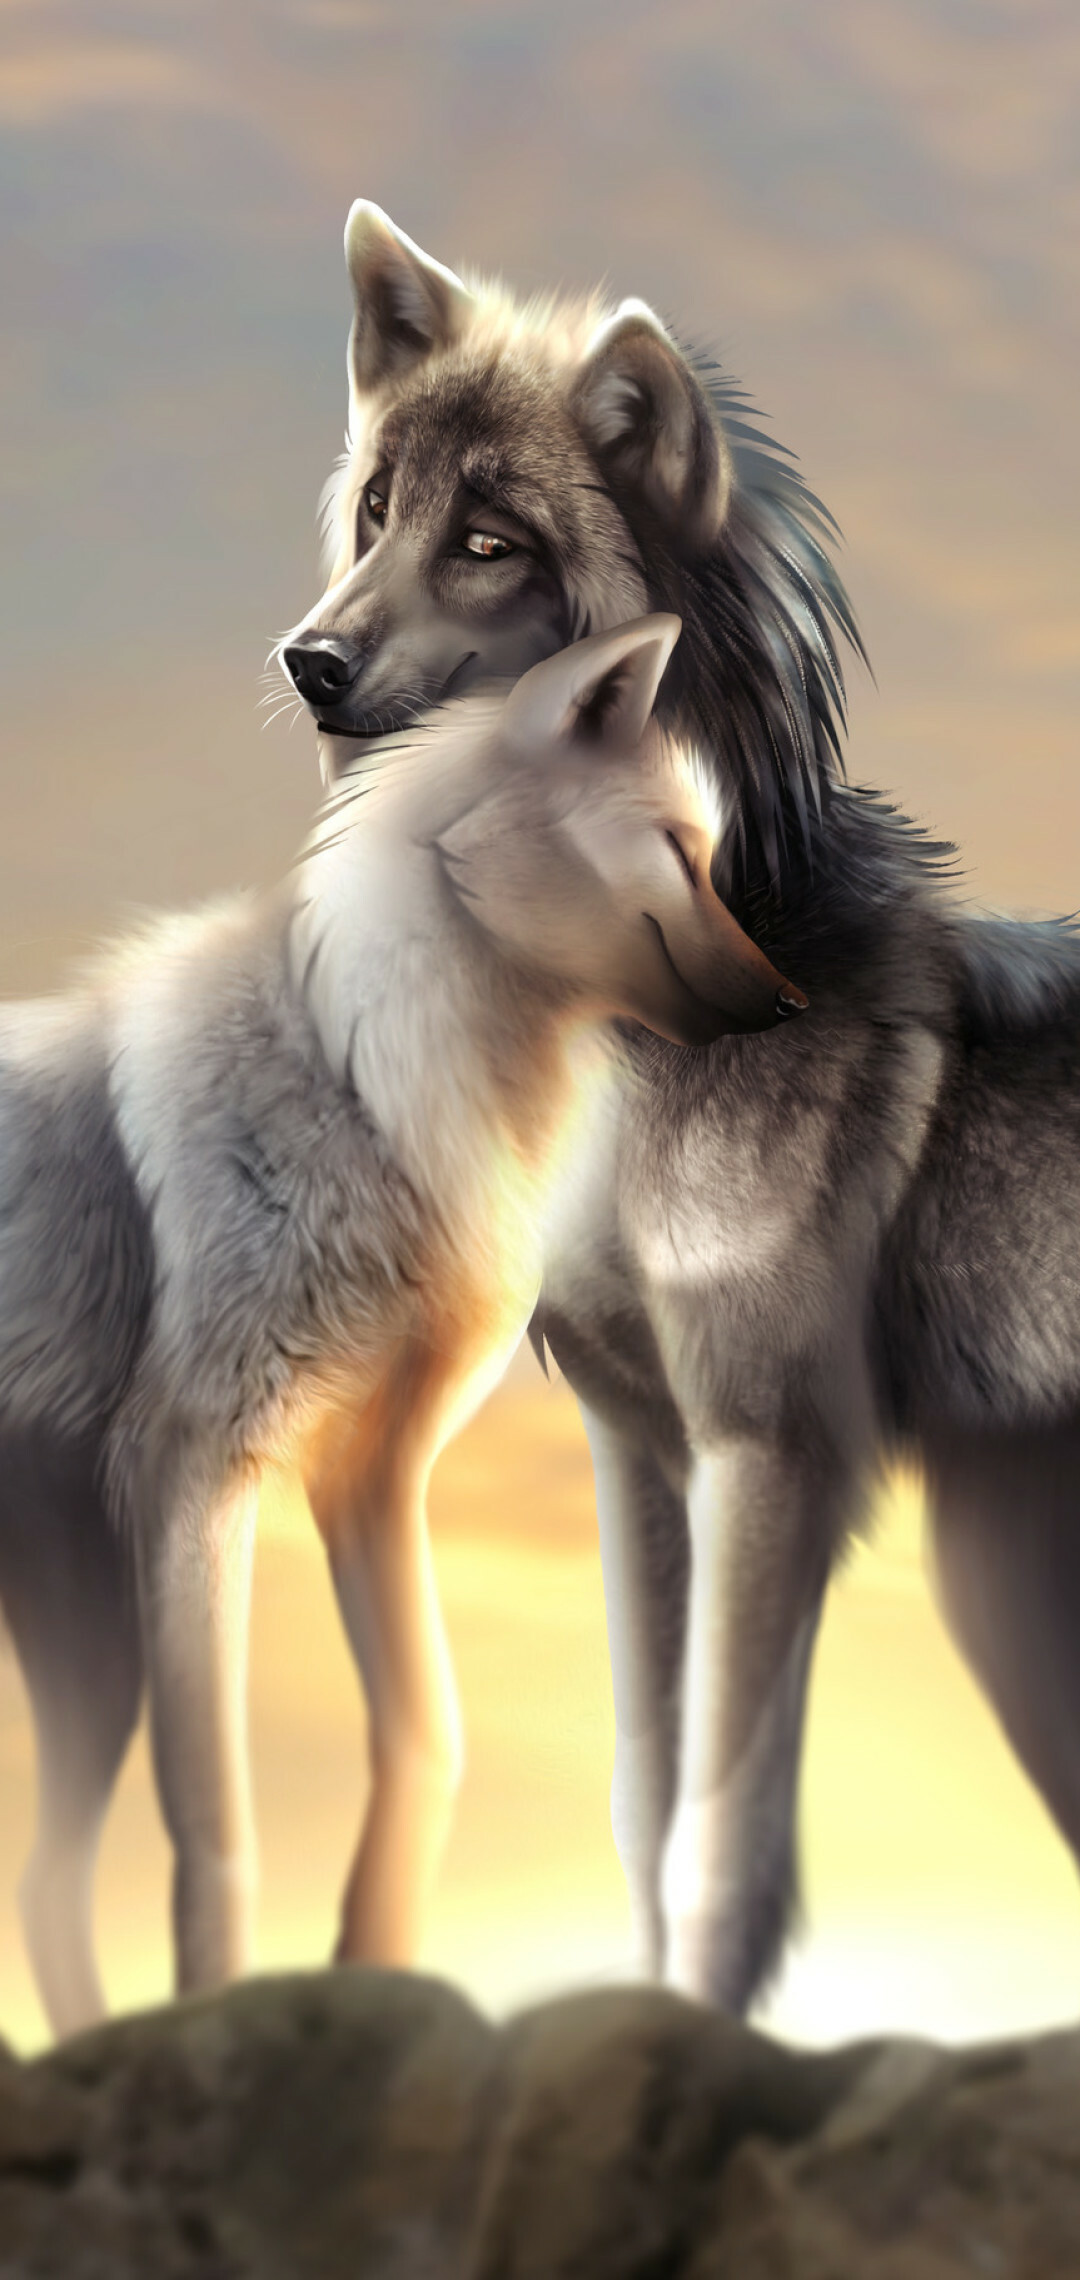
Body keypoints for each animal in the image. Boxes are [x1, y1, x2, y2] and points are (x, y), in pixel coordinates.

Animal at [0, 616, 802, 2039]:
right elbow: (213, 1821)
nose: (788, 1004)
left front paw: (368, 1976)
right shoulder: (196, 1472)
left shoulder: (373, 1477)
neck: (368, 1076)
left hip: (82, 1644)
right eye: (677, 848)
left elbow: (428, 1739)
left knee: (42, 1877)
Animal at [281, 201, 1080, 2015]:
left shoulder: (766, 1452)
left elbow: (723, 1835)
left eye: (489, 540)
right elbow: (647, 1811)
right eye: (376, 513)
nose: (308, 660)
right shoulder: (637, 1451)